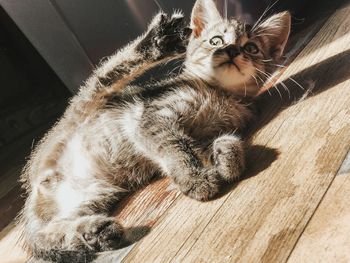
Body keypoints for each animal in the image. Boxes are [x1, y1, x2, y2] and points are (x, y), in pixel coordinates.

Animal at [17, 1, 292, 262]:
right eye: (216, 41)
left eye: (252, 48)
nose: (233, 50)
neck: (219, 93)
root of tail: (34, 185)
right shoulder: (151, 119)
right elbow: (176, 148)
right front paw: (196, 179)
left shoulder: (201, 132)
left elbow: (204, 145)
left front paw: (226, 157)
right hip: (90, 105)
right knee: (105, 74)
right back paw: (160, 41)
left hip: (88, 195)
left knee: (45, 234)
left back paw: (94, 233)